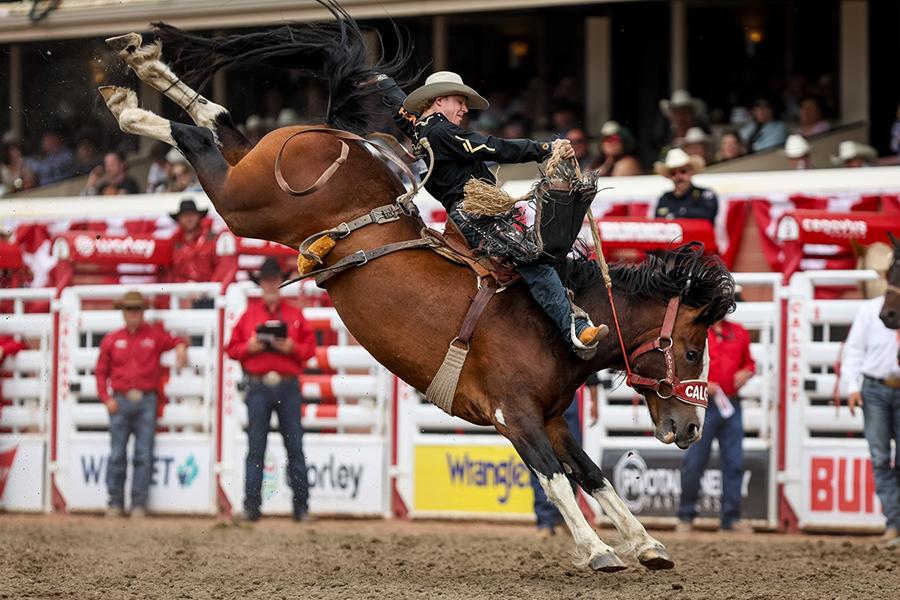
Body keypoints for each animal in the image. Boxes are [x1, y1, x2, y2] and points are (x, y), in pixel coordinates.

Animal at [96, 0, 734, 572]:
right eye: (693, 349)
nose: (691, 427)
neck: (553, 322)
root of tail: (332, 136)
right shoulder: (514, 415)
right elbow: (555, 479)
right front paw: (599, 551)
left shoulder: (554, 419)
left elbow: (594, 476)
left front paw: (646, 544)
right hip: (246, 206)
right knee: (198, 140)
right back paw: (127, 101)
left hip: (255, 176)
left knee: (220, 121)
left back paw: (141, 64)